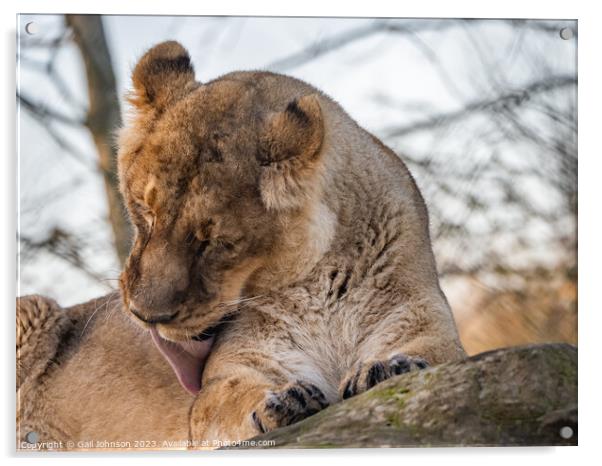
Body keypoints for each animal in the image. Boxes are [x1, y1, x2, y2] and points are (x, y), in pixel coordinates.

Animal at [113, 41, 464, 442]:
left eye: (215, 242)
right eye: (144, 211)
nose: (146, 316)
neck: (321, 286)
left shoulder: (423, 321)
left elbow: (433, 352)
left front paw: (386, 368)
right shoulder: (231, 371)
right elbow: (226, 396)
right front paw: (281, 401)